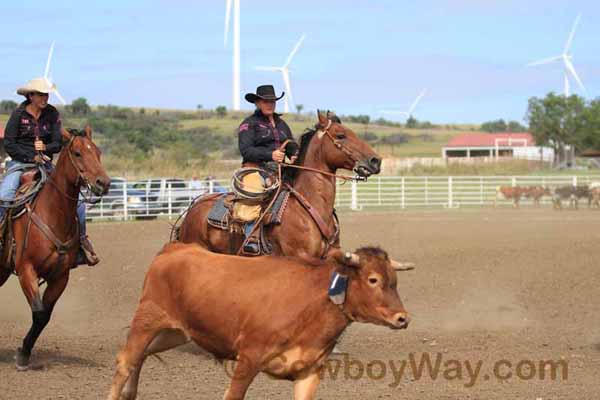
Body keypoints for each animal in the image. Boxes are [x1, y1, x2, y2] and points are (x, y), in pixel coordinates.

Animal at [0, 126, 109, 370]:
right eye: (77, 153)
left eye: (97, 152)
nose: (104, 183)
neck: (52, 213)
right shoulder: (26, 270)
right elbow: (39, 312)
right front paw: (22, 356)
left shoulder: (61, 276)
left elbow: (44, 316)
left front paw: (23, 351)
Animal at [106, 244, 408, 400]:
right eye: (373, 279)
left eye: (395, 280)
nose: (402, 318)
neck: (311, 303)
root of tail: (174, 248)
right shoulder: (248, 360)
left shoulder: (309, 371)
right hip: (147, 320)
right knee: (125, 362)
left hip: (176, 332)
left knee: (141, 358)